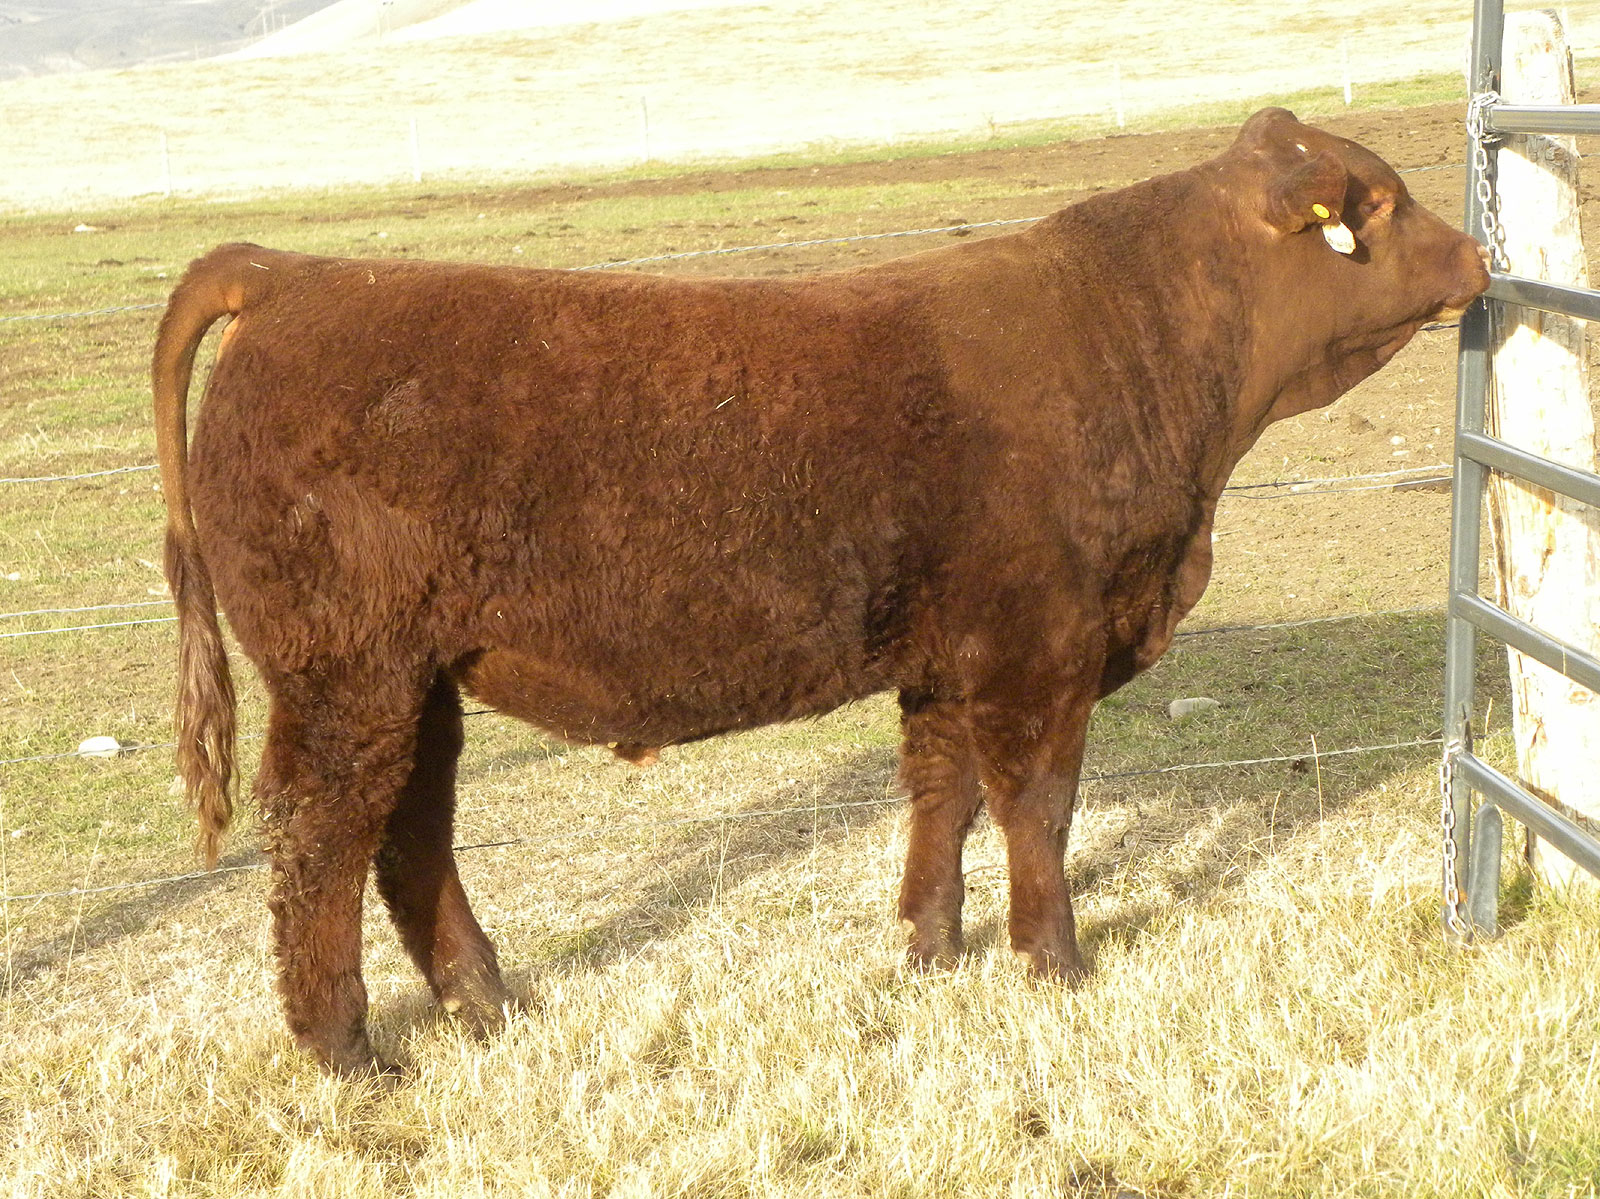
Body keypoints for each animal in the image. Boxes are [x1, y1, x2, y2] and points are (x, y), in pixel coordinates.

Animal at [152, 108, 1489, 1076]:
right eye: (1375, 203)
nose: (1480, 254)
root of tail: (292, 273)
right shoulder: (1039, 644)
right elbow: (1038, 808)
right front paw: (1054, 965)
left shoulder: (950, 654)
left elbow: (944, 798)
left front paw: (930, 950)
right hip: (347, 672)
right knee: (322, 837)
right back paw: (347, 1050)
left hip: (419, 677)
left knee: (409, 831)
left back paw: (489, 1003)